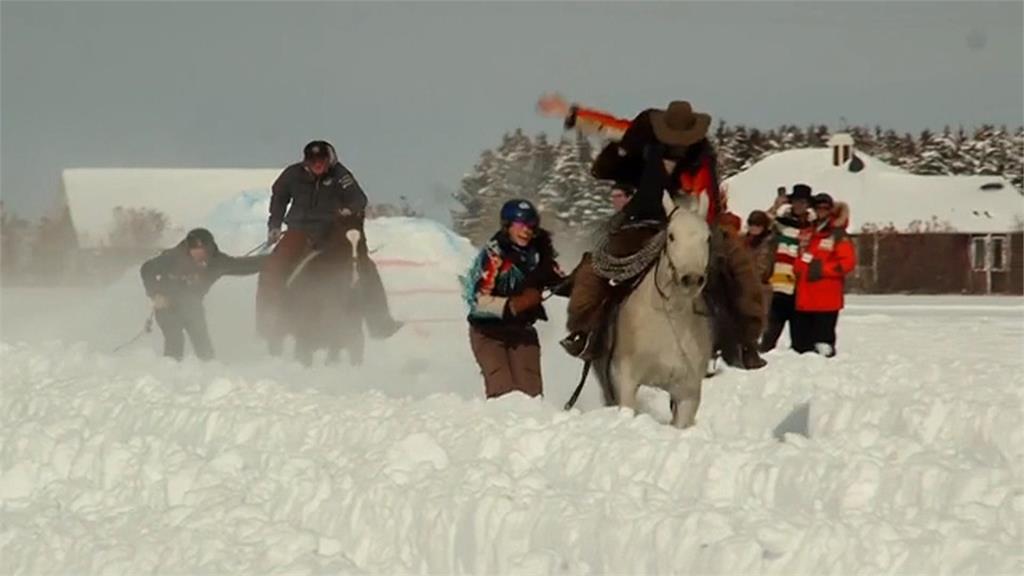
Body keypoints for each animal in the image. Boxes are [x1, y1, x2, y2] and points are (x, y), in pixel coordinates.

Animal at [593, 189, 712, 426]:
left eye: (708, 237)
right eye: (671, 236)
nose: (692, 279)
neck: (669, 318)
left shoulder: (688, 393)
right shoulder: (624, 378)